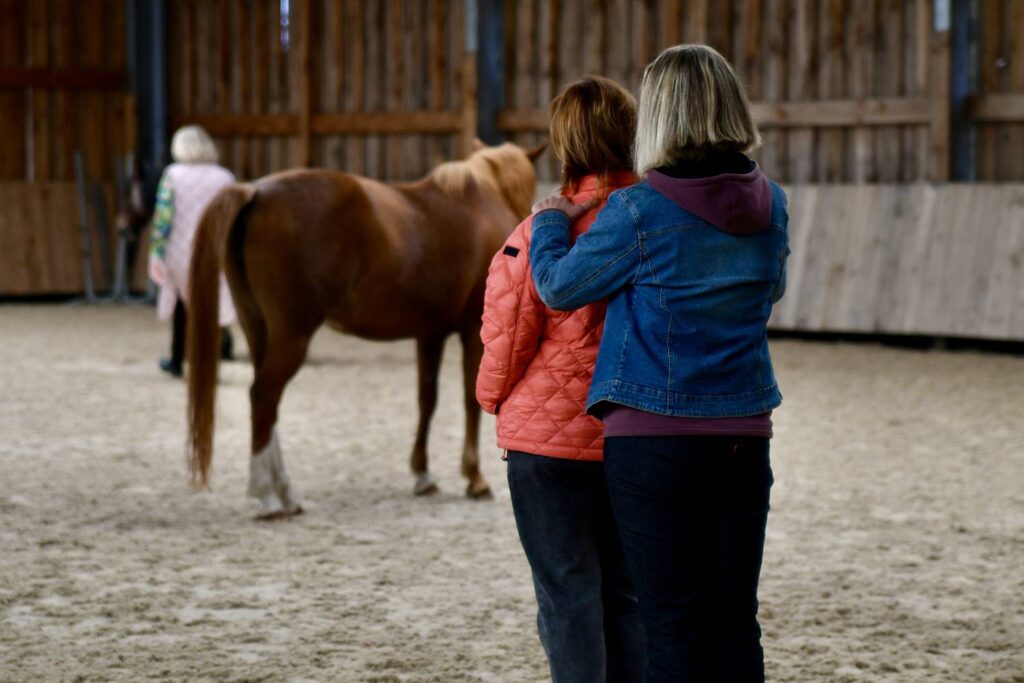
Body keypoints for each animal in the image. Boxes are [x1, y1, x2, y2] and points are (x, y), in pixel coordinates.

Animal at [190, 144, 544, 518]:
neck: (482, 202)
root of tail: (256, 192)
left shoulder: (430, 334)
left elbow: (427, 399)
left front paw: (423, 475)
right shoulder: (472, 330)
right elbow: (469, 401)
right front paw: (474, 478)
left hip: (257, 328)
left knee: (265, 405)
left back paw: (285, 493)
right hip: (292, 335)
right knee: (263, 397)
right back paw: (268, 497)